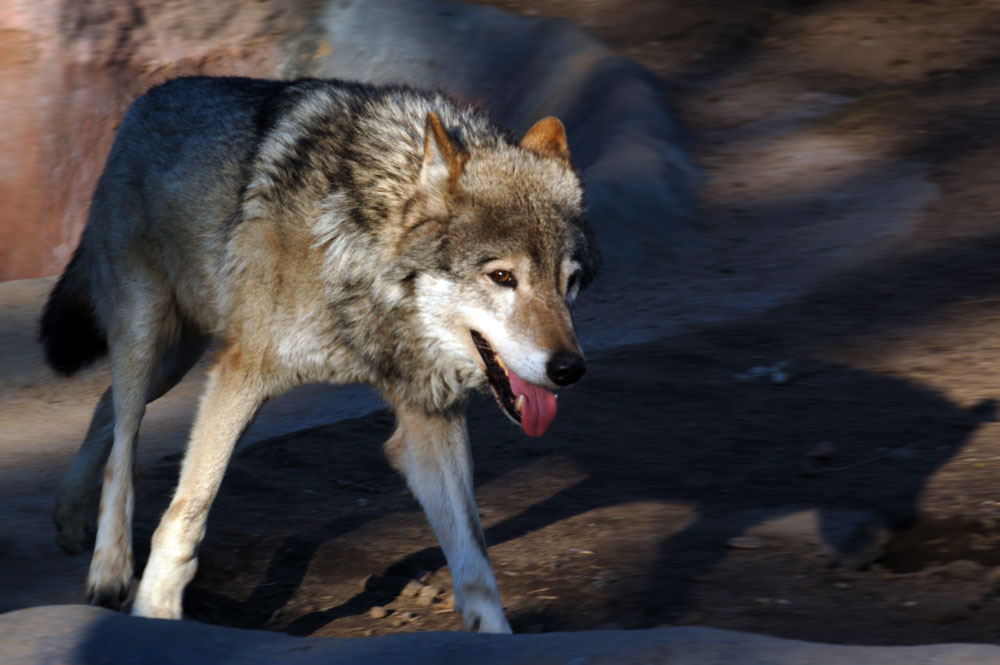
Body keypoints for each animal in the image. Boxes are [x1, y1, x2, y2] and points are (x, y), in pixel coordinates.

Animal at [40, 76, 597, 633]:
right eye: (502, 277)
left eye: (569, 282)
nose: (570, 370)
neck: (357, 247)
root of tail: (145, 98)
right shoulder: (240, 375)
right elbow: (187, 510)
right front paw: (156, 610)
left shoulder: (429, 416)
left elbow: (474, 561)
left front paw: (495, 636)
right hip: (147, 332)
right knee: (124, 445)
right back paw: (110, 568)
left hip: (176, 357)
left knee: (106, 409)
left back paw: (69, 516)